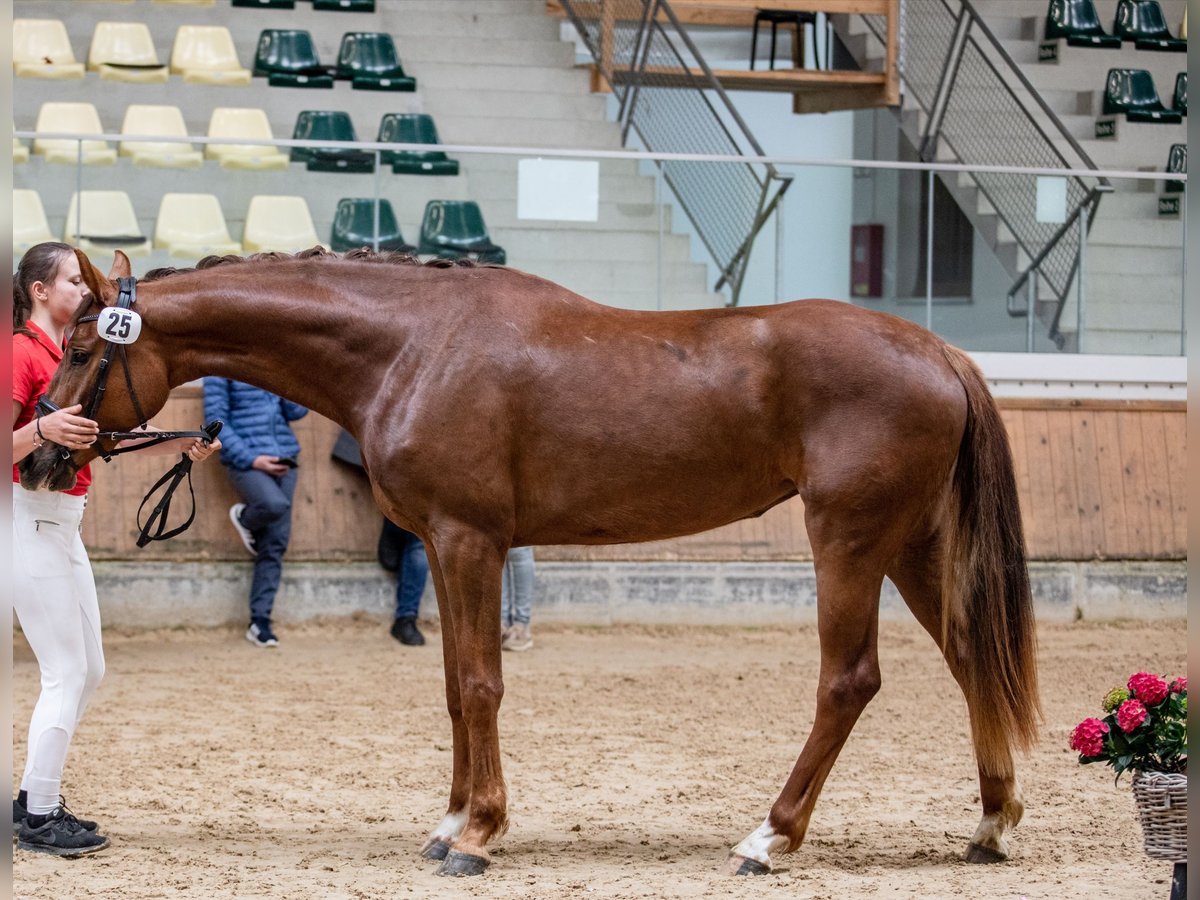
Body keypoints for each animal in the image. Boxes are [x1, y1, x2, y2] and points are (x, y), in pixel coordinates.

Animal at [23, 248, 1046, 883]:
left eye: (82, 346)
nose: (38, 455)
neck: (411, 345)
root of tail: (938, 348)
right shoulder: (442, 548)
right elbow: (450, 686)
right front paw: (448, 822)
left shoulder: (471, 539)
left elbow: (480, 685)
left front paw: (479, 833)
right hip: (913, 544)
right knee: (969, 660)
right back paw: (991, 823)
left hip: (849, 541)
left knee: (849, 680)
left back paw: (769, 837)